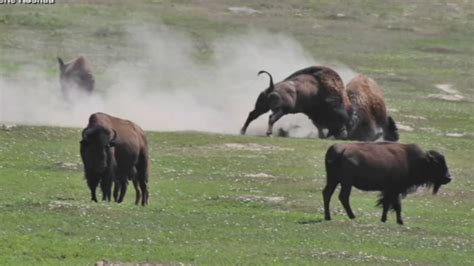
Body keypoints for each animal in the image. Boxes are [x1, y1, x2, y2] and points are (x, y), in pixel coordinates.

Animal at [322, 142, 452, 223]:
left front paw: (388, 220)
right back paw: (352, 216)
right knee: (343, 196)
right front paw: (398, 221)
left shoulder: (391, 190)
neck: (416, 161)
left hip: (333, 180)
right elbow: (395, 204)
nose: (449, 177)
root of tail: (340, 150)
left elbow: (389, 204)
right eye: (437, 163)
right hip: (346, 183)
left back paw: (328, 217)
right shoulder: (394, 189)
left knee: (327, 193)